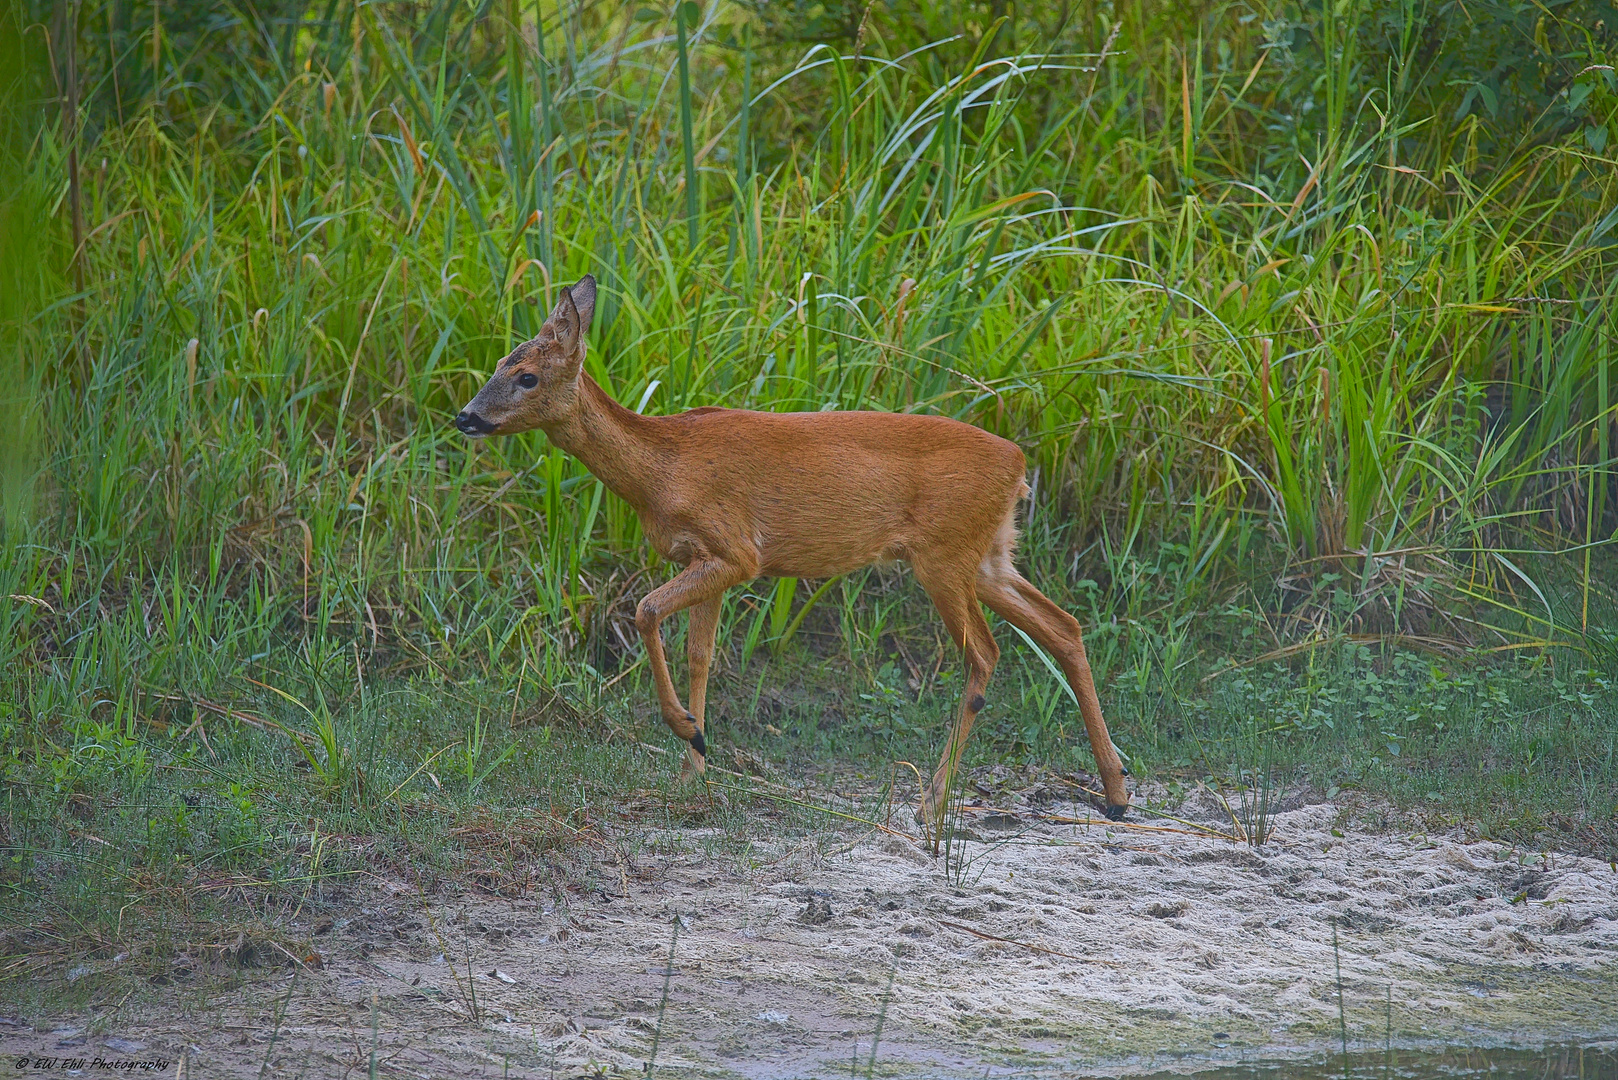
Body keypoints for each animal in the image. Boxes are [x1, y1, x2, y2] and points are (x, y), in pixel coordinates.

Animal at [456, 276, 1132, 819]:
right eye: (498, 363)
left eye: (526, 375)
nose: (465, 417)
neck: (661, 469)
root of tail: (1018, 464)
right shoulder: (706, 560)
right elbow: (700, 655)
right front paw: (693, 763)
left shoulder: (735, 550)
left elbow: (645, 610)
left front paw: (687, 733)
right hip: (990, 554)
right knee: (1065, 626)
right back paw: (1117, 791)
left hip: (943, 556)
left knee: (986, 655)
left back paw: (934, 801)